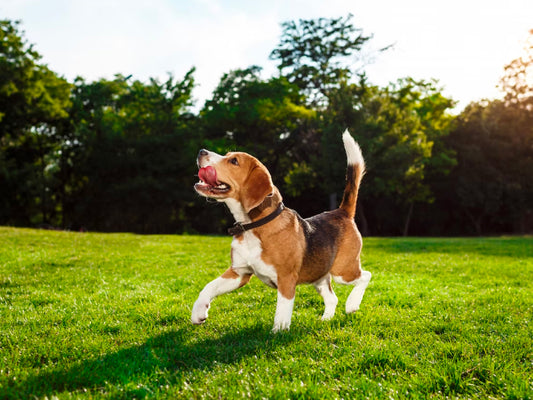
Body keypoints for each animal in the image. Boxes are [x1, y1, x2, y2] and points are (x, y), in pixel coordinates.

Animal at [190, 129, 370, 332]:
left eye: (234, 161)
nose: (201, 151)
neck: (254, 226)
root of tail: (341, 212)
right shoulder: (239, 273)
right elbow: (209, 286)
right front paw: (198, 312)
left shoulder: (286, 278)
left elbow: (282, 310)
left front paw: (278, 332)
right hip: (319, 276)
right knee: (332, 298)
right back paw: (325, 320)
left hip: (343, 271)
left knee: (366, 276)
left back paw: (352, 304)